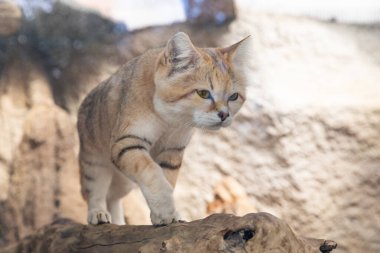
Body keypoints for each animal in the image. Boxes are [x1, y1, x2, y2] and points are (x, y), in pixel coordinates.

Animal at [77, 32, 249, 225]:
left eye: (233, 97)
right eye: (203, 93)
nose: (225, 114)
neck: (169, 119)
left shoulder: (172, 151)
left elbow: (167, 179)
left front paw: (163, 214)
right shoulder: (127, 143)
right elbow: (152, 172)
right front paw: (166, 210)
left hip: (124, 181)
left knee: (113, 197)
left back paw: (118, 222)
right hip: (95, 162)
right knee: (96, 191)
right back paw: (98, 213)